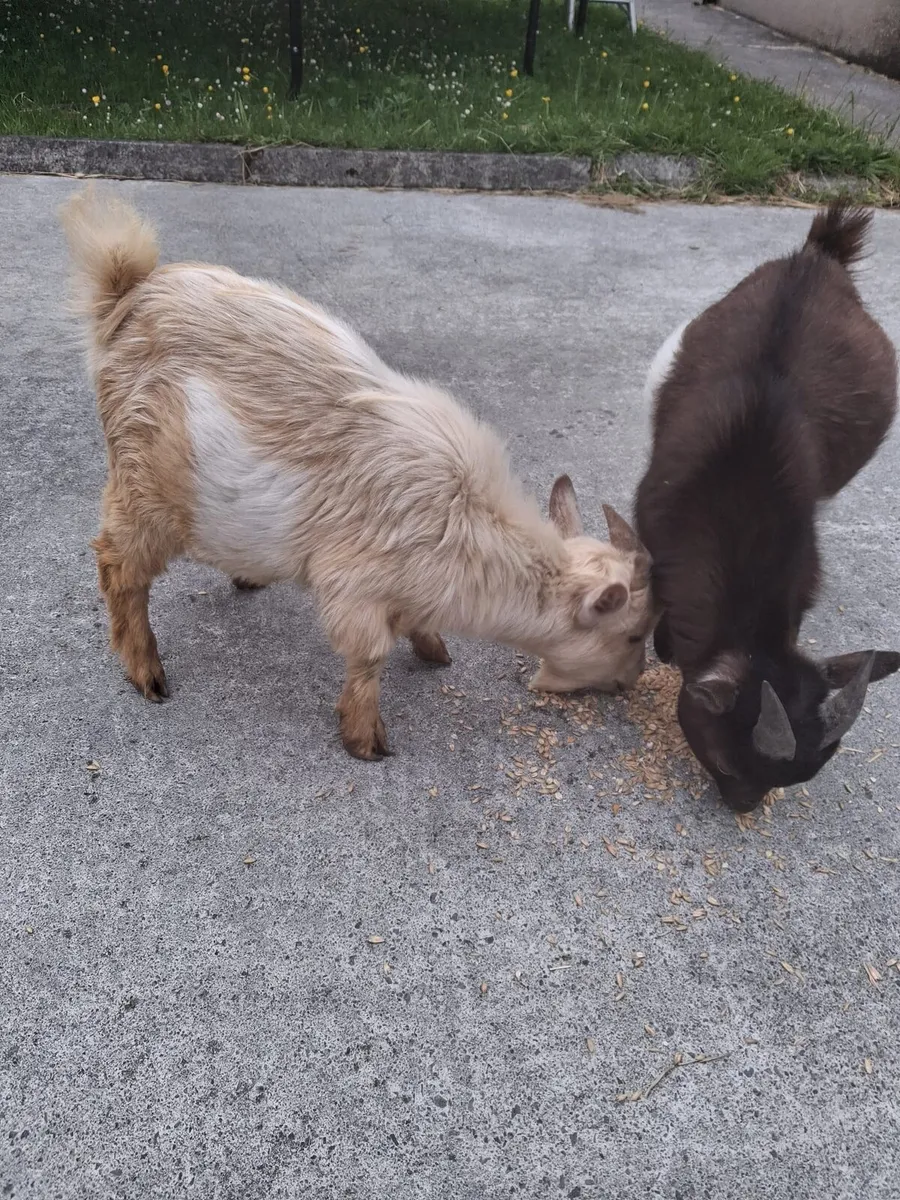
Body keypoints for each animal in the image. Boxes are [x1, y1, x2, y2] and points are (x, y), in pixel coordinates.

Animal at [60, 188, 653, 760]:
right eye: (630, 636)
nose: (631, 683)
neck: (464, 518)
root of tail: (127, 294)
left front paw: (434, 650)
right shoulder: (355, 588)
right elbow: (368, 659)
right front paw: (367, 739)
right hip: (145, 487)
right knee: (118, 566)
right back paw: (148, 674)